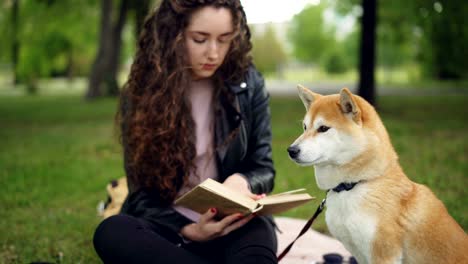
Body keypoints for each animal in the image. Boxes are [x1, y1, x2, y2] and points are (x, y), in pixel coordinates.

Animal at [288, 85, 466, 264]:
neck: (354, 185)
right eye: (305, 127)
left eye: (323, 128)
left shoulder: (384, 254)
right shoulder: (359, 254)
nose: (291, 150)